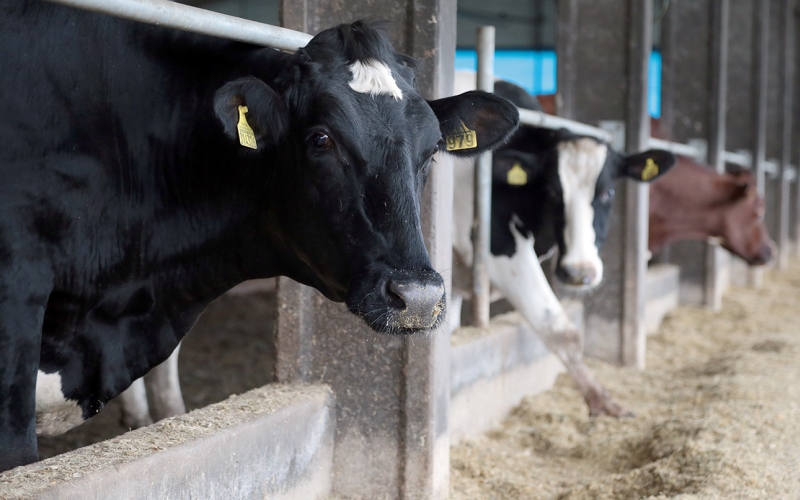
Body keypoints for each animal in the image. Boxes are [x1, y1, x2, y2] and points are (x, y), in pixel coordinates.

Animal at [454, 69, 672, 414]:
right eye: (553, 191)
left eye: (609, 192)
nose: (579, 273)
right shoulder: (496, 249)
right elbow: (560, 328)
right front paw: (600, 400)